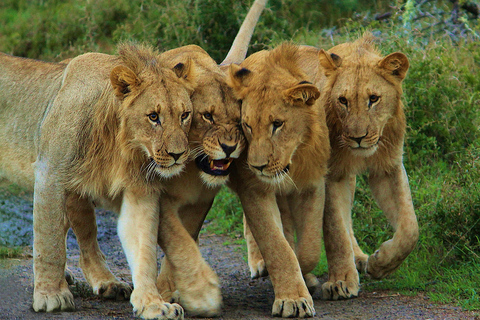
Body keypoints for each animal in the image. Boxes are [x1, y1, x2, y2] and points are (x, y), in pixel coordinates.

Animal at [0, 43, 199, 320]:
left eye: (184, 115)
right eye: (153, 117)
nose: (178, 154)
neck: (119, 141)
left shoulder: (140, 189)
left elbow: (144, 249)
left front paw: (153, 304)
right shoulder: (50, 172)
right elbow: (49, 243)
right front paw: (51, 295)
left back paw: (108, 283)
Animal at [225, 42, 330, 318]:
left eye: (278, 124)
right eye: (247, 125)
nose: (257, 166)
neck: (294, 158)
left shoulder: (313, 184)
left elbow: (310, 248)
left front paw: (305, 275)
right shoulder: (254, 188)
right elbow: (277, 246)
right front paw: (293, 299)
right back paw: (259, 263)